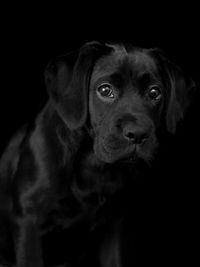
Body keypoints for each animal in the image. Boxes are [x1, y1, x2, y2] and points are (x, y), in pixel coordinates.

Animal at [0, 41, 195, 267]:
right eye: (105, 90)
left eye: (155, 92)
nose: (138, 133)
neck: (91, 163)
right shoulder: (28, 222)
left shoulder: (113, 226)